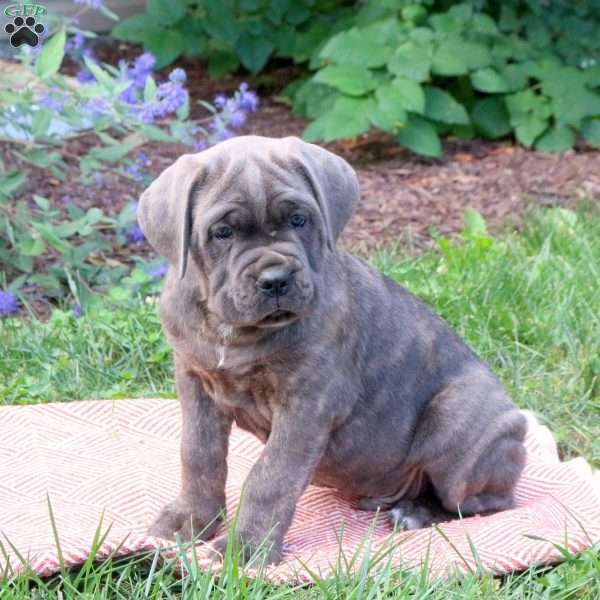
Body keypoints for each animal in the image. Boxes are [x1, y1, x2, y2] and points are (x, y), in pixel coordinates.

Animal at [138, 135, 528, 564]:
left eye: (299, 219)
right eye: (222, 232)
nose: (275, 279)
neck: (235, 332)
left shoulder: (307, 405)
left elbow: (269, 477)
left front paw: (246, 550)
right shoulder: (194, 383)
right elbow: (198, 454)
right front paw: (191, 519)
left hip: (458, 421)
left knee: (483, 501)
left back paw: (416, 511)